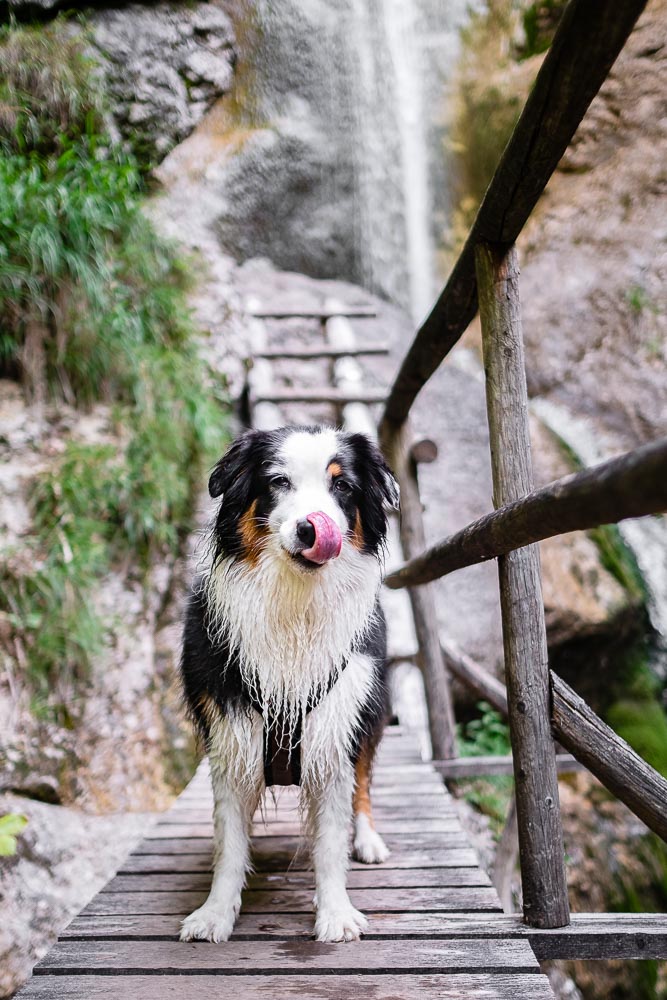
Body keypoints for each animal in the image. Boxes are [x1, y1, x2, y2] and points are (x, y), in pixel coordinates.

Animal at [177, 426, 400, 940]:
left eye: (342, 486)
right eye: (279, 482)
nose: (312, 528)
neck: (295, 604)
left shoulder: (335, 736)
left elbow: (331, 839)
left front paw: (335, 913)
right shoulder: (231, 739)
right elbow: (229, 844)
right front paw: (215, 913)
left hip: (371, 712)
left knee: (364, 781)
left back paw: (368, 839)